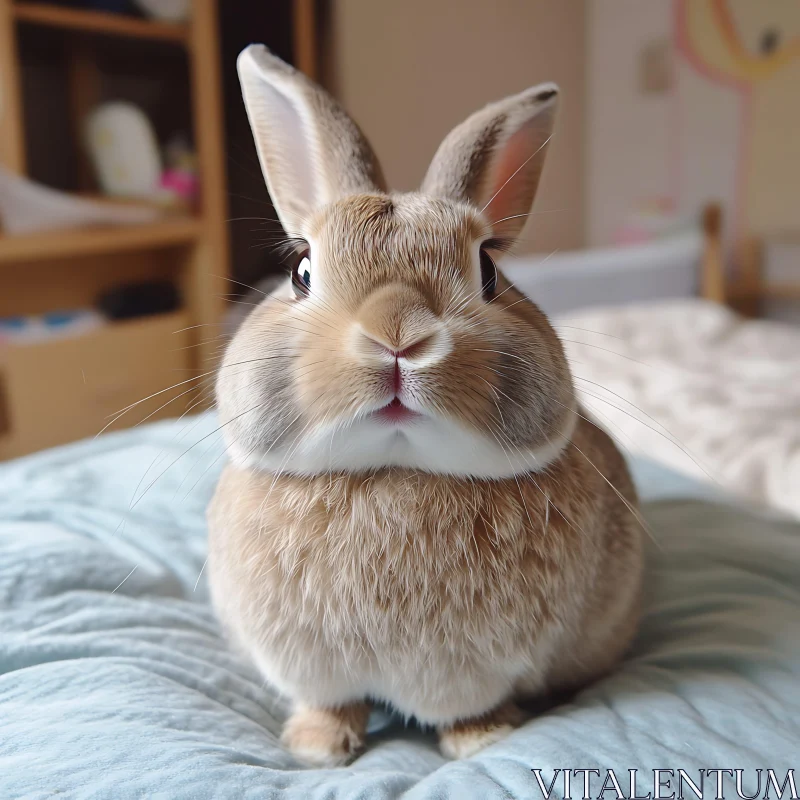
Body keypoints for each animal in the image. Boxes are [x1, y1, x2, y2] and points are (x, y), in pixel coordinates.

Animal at [206, 45, 644, 768]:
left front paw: (482, 739)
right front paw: (316, 749)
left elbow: (468, 707)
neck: (394, 472)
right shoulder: (310, 668)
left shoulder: (473, 672)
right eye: (301, 272)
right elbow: (330, 702)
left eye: (488, 271)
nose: (398, 334)